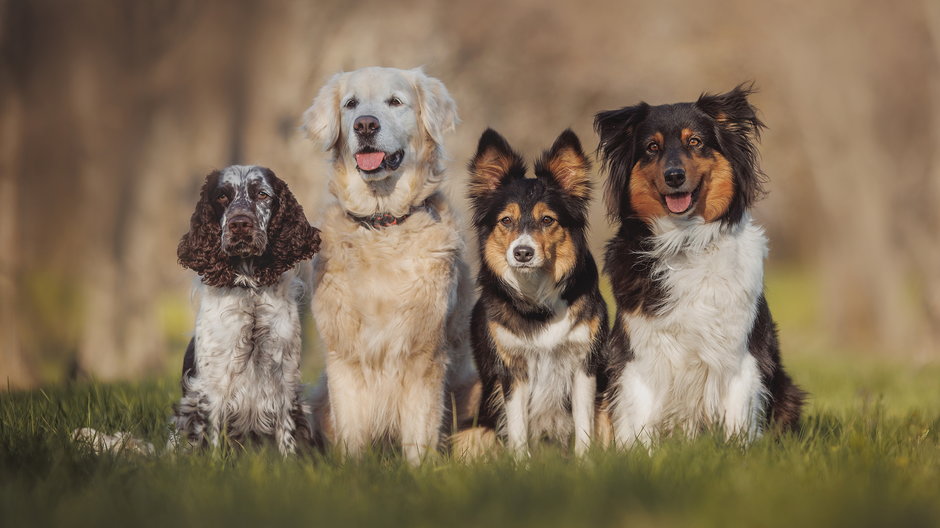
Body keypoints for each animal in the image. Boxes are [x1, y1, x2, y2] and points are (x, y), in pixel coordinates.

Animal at [173, 165, 324, 454]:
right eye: (222, 196)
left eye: (262, 194)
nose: (240, 223)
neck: (250, 289)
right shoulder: (213, 384)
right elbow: (212, 434)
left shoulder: (285, 377)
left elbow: (286, 433)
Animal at [302, 65, 478, 462]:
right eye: (351, 104)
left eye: (395, 102)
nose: (365, 125)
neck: (382, 225)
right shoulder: (344, 359)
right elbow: (352, 433)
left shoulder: (424, 354)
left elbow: (420, 433)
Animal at [462, 129, 608, 458]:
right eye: (506, 220)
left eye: (547, 220)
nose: (523, 253)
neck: (537, 299)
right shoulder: (512, 370)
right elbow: (517, 428)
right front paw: (522, 465)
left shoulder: (584, 362)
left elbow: (583, 424)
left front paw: (585, 463)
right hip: (474, 426)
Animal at [596, 83, 808, 446]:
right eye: (652, 147)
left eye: (695, 141)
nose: (674, 176)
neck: (685, 242)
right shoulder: (639, 355)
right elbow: (638, 419)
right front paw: (637, 454)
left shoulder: (740, 355)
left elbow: (738, 417)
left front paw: (739, 451)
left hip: (788, 392)